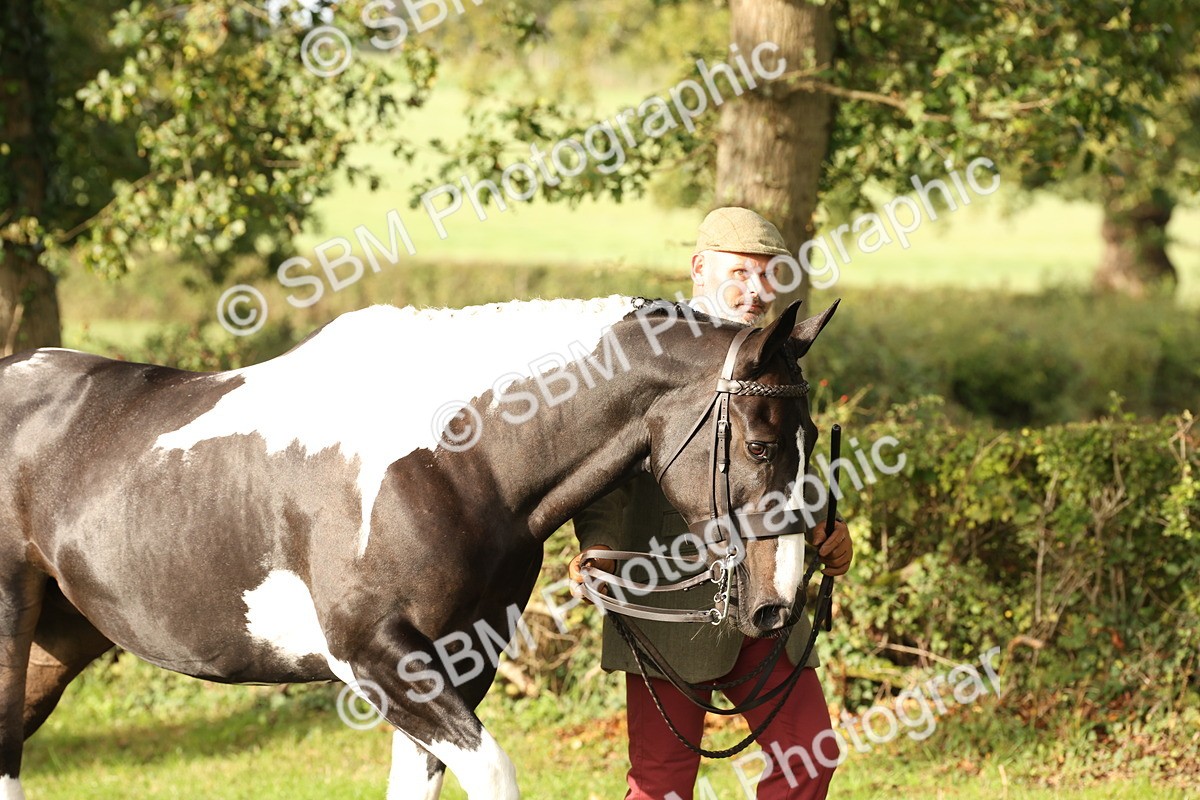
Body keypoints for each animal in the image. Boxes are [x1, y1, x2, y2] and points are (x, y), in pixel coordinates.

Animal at [0, 294, 836, 799]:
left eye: (811, 436)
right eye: (761, 447)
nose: (780, 602)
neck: (453, 460)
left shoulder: (457, 663)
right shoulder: (376, 660)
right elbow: (494, 774)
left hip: (56, 645)